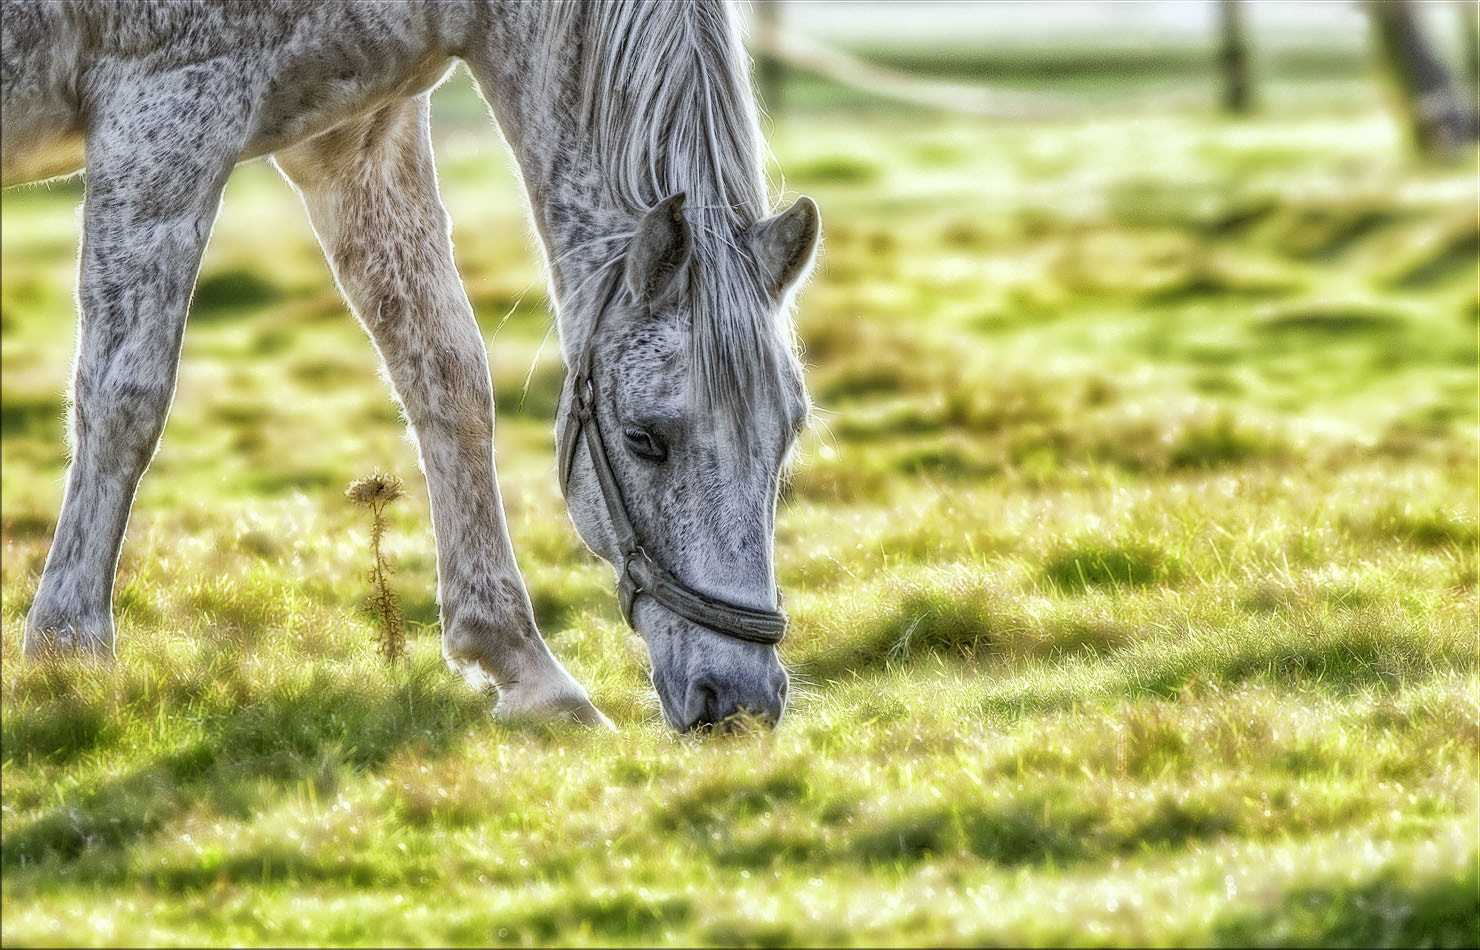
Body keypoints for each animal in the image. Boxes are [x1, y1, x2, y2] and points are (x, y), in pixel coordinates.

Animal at [1, 0, 820, 732]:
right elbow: (125, 397)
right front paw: (69, 652)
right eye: (645, 438)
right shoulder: (164, 113)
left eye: (786, 441)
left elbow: (448, 374)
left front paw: (523, 665)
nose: (740, 700)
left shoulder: (358, 138)